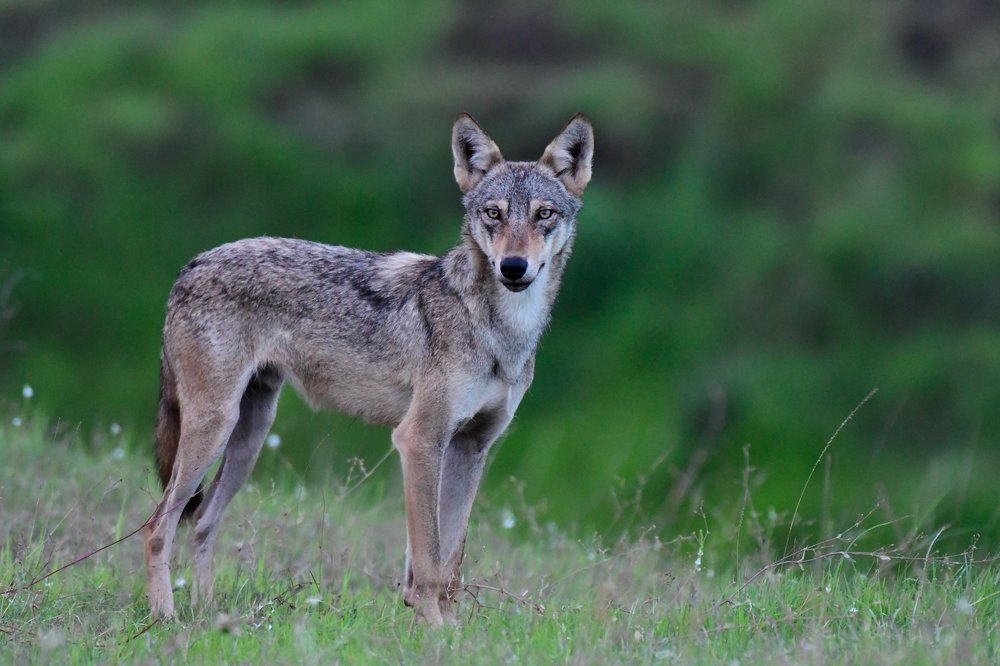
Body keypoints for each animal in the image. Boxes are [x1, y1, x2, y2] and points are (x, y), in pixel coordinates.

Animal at [143, 113, 594, 625]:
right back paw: (166, 618)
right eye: (493, 214)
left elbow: (451, 562)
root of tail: (190, 265)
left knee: (202, 520)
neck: (499, 331)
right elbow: (429, 562)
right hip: (214, 429)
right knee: (157, 525)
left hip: (248, 437)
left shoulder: (471, 448)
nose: (514, 267)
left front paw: (451, 630)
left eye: (544, 214)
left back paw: (209, 615)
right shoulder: (419, 440)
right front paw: (433, 628)